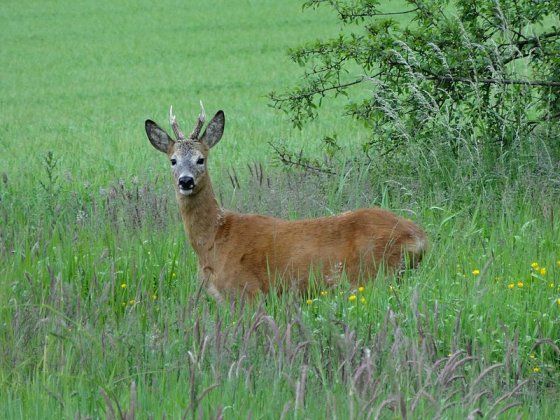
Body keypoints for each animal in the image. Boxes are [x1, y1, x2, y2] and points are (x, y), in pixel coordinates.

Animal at [143, 105, 424, 302]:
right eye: (173, 160)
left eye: (201, 159)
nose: (186, 181)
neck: (214, 239)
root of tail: (420, 237)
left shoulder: (247, 292)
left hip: (374, 275)